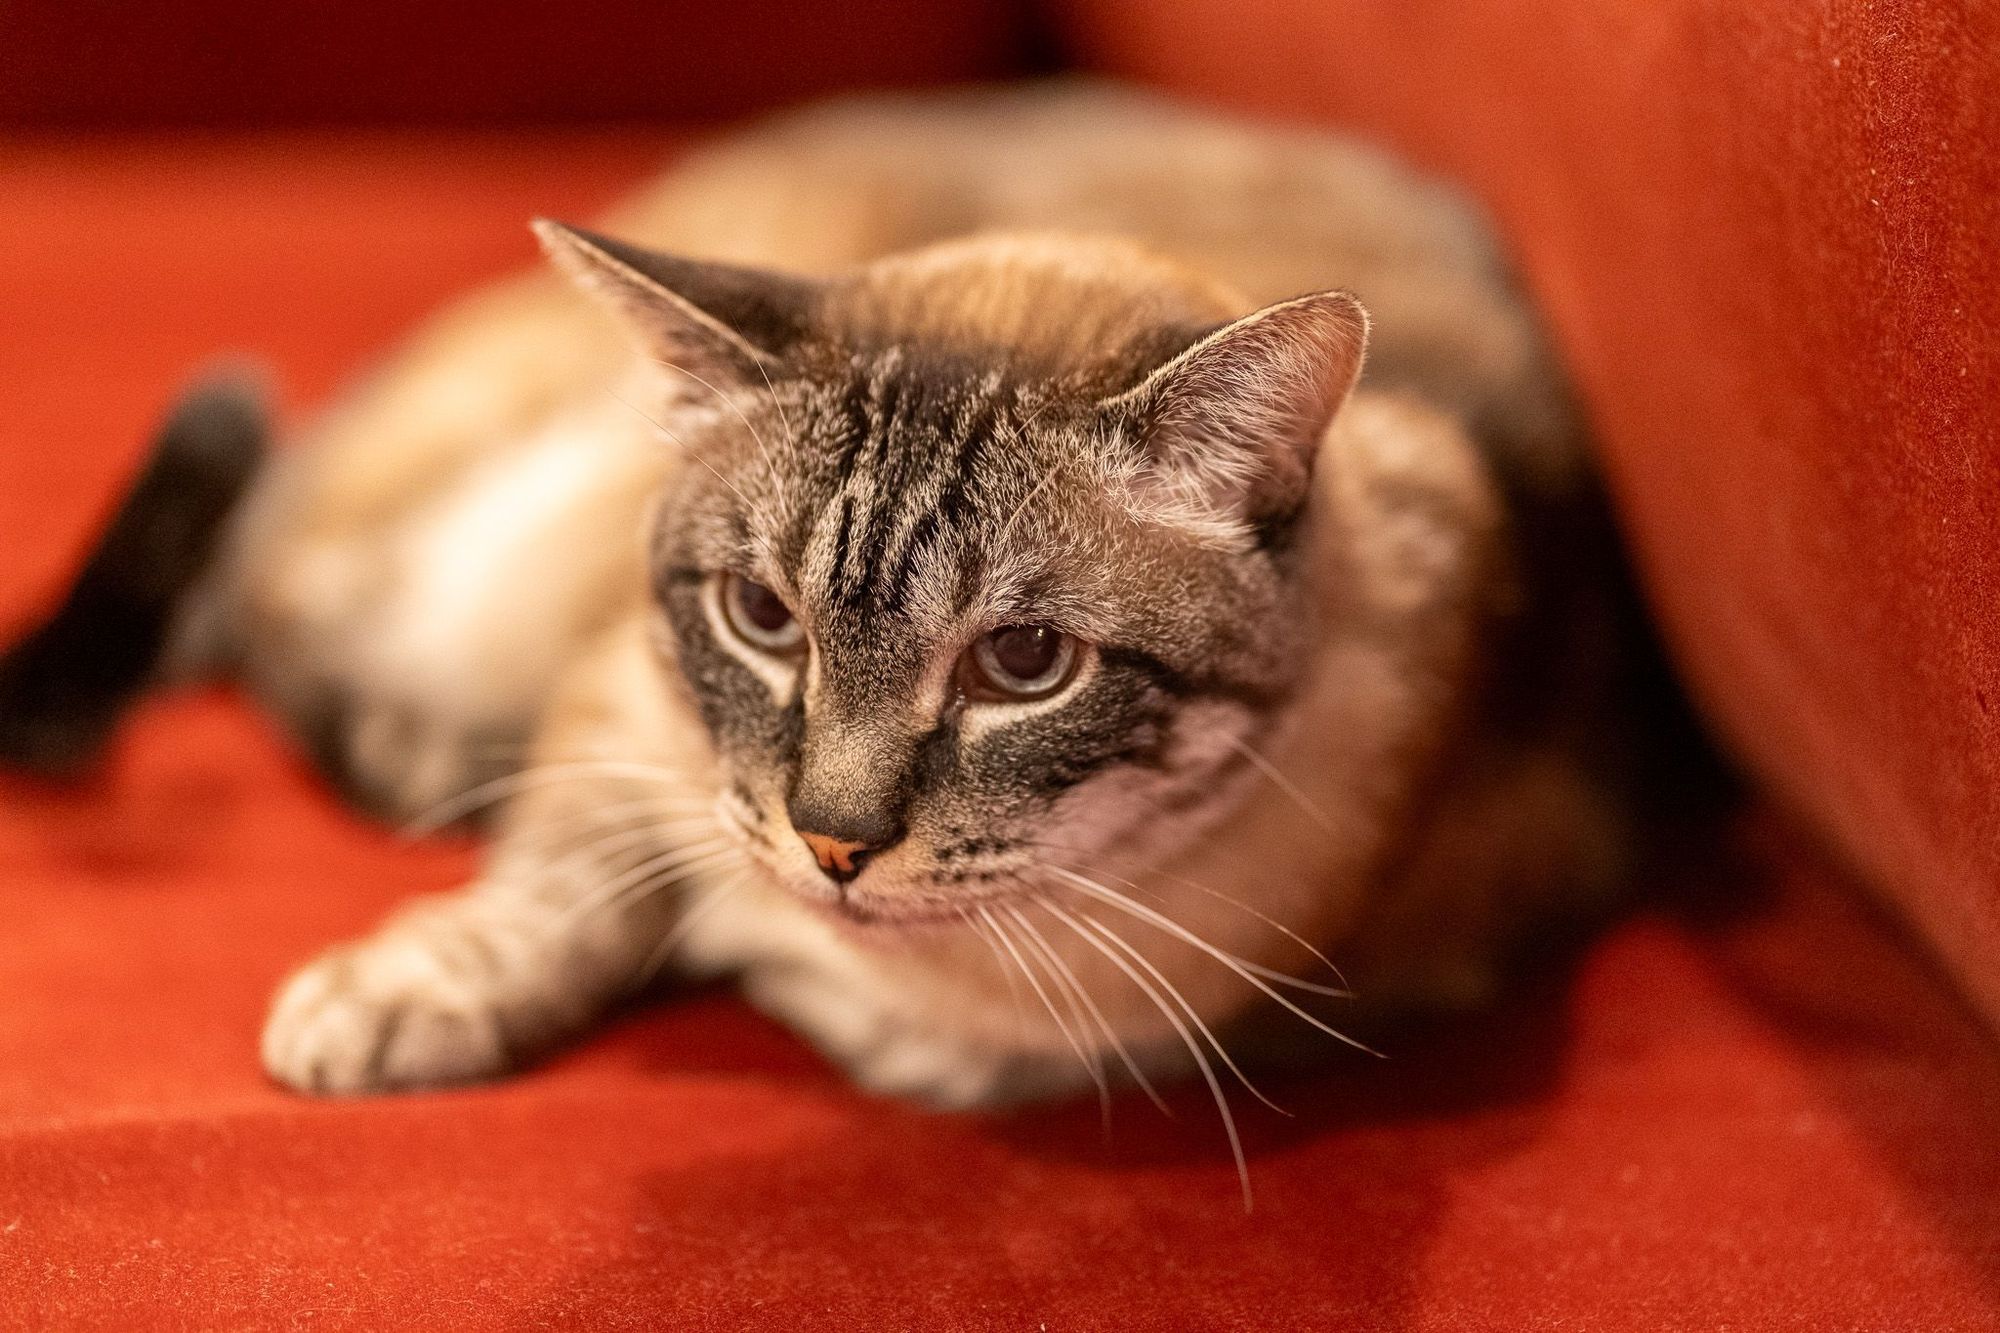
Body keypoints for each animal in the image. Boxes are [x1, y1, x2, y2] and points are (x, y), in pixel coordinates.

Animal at [0, 88, 1680, 1176]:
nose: (831, 846)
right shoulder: (620, 702)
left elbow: (964, 1049)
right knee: (282, 591)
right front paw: (401, 999)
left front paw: (789, 974)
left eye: (1024, 665)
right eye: (762, 617)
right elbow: (552, 886)